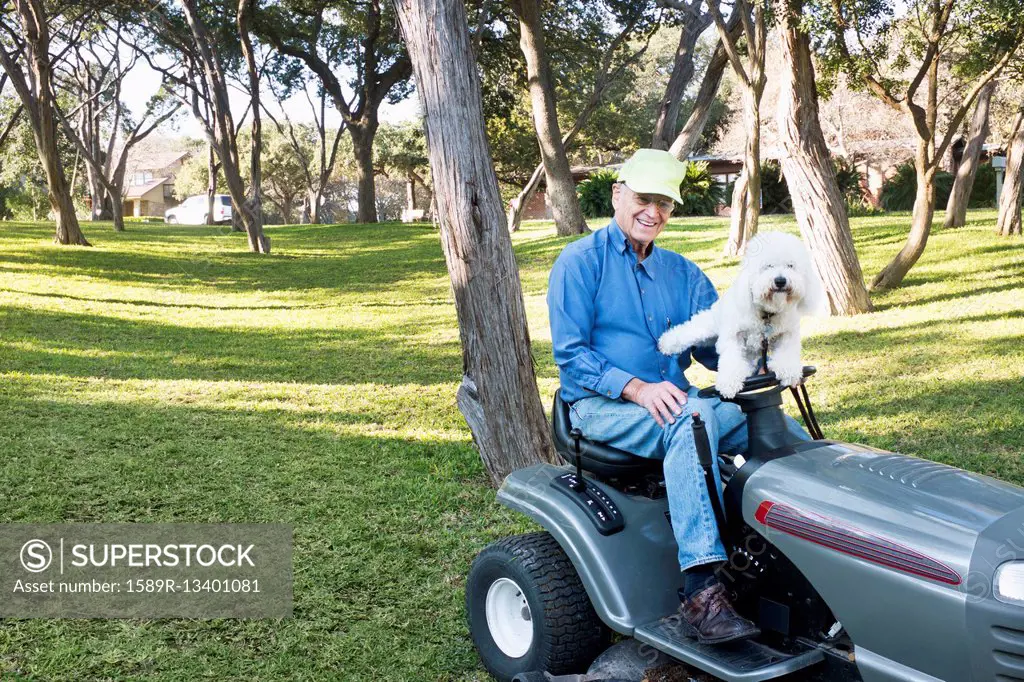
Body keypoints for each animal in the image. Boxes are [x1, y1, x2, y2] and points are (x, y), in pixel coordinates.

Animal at [659, 231, 827, 395]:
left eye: (790, 266)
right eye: (768, 266)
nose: (780, 280)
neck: (766, 314)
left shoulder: (786, 334)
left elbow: (786, 353)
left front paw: (789, 371)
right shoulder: (734, 336)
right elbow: (731, 360)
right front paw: (728, 383)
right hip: (705, 327)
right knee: (686, 331)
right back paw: (666, 343)